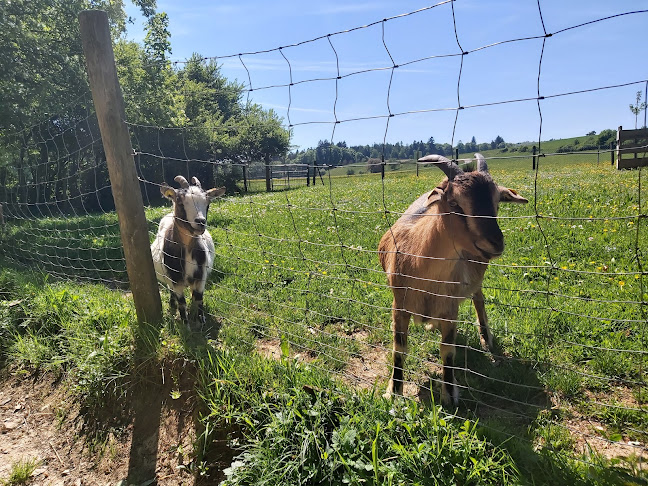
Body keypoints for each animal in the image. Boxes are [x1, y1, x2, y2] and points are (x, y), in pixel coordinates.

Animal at [151, 176, 227, 326]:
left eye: (208, 203)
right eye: (180, 201)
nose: (200, 222)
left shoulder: (200, 277)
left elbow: (199, 298)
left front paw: (201, 320)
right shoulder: (175, 280)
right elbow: (182, 302)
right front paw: (186, 325)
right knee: (172, 292)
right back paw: (172, 305)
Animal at [380, 153, 528, 406]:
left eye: (497, 202)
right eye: (455, 203)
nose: (496, 242)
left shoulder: (451, 308)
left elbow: (447, 350)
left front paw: (449, 396)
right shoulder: (399, 304)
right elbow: (399, 348)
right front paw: (394, 392)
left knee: (479, 299)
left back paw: (485, 338)